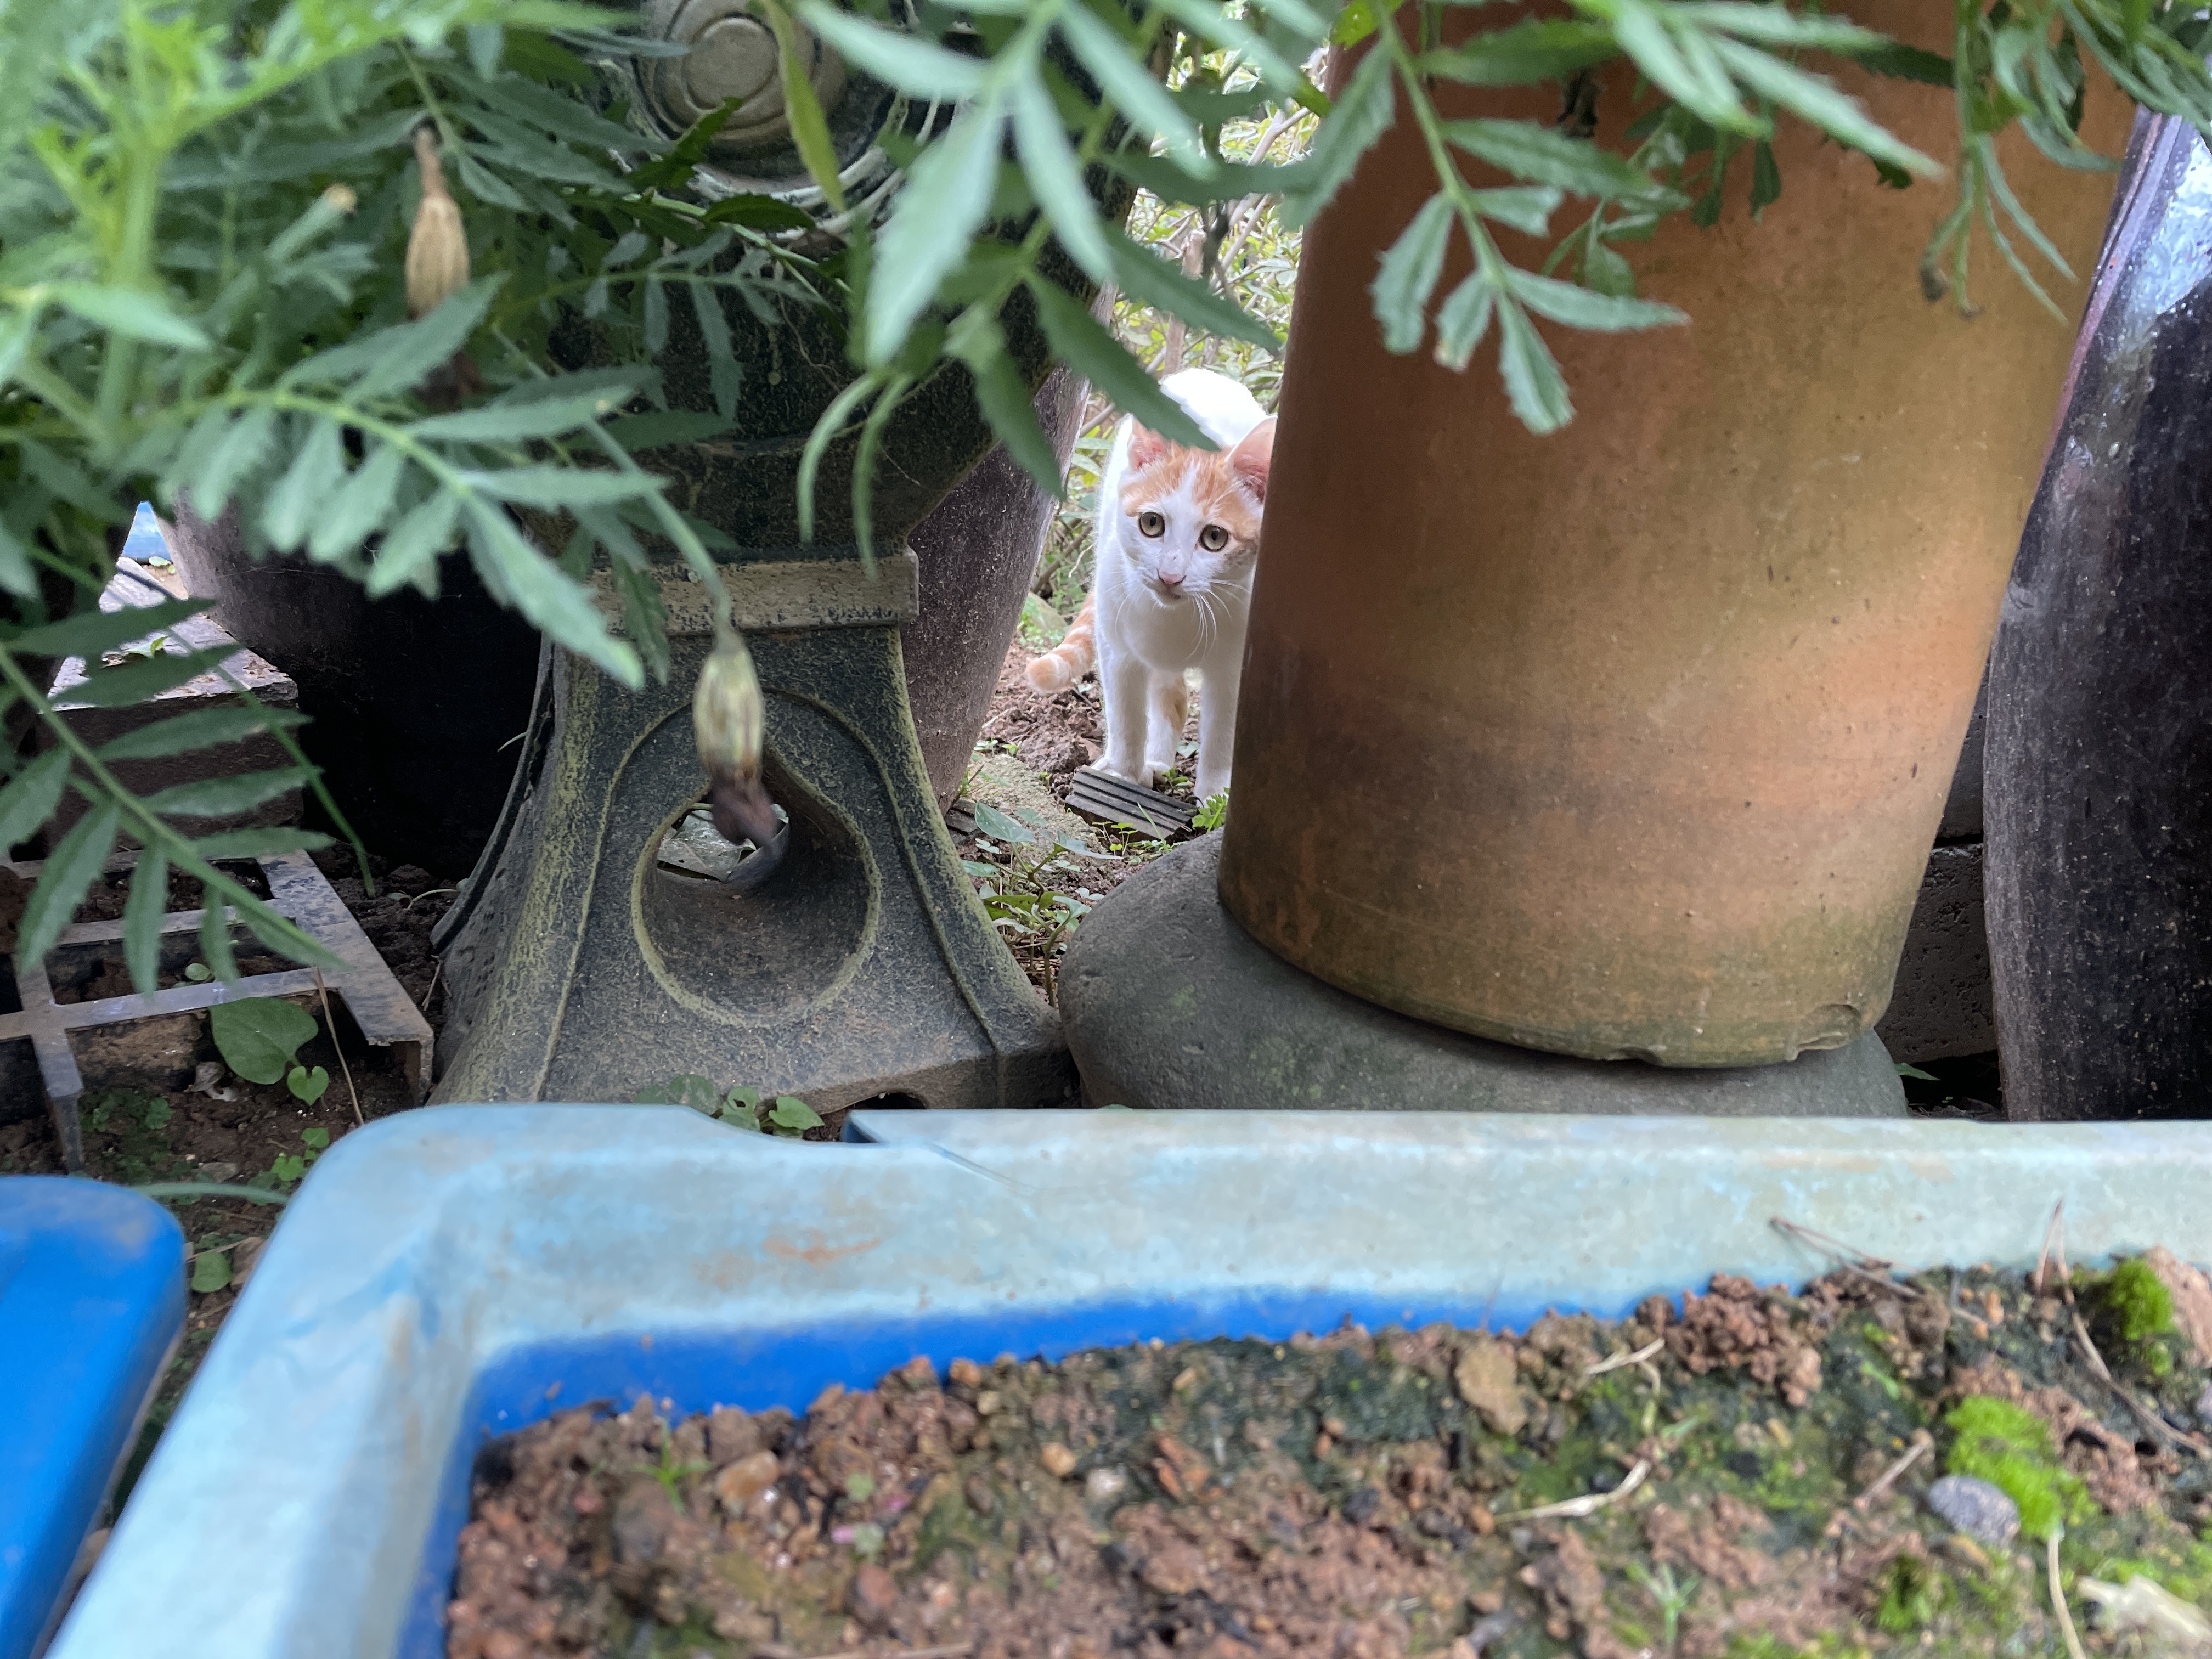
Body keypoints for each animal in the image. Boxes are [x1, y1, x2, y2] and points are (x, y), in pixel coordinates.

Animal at [1025, 367, 1275, 803]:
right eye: (1152, 524)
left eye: (1215, 538)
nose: (1170, 576)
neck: (1177, 621)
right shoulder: (1117, 649)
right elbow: (1126, 717)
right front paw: (1124, 774)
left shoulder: (1233, 665)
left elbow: (1222, 732)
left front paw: (1214, 796)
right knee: (1167, 694)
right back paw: (1153, 762)